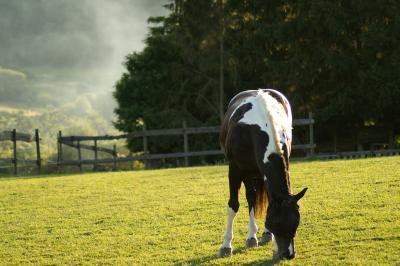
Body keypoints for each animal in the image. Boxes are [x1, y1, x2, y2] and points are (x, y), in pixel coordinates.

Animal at [219, 89, 306, 260]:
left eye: (296, 223)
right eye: (277, 223)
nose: (289, 254)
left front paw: (271, 241)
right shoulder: (235, 170)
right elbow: (233, 205)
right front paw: (226, 245)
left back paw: (261, 236)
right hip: (247, 174)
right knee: (251, 198)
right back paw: (252, 237)